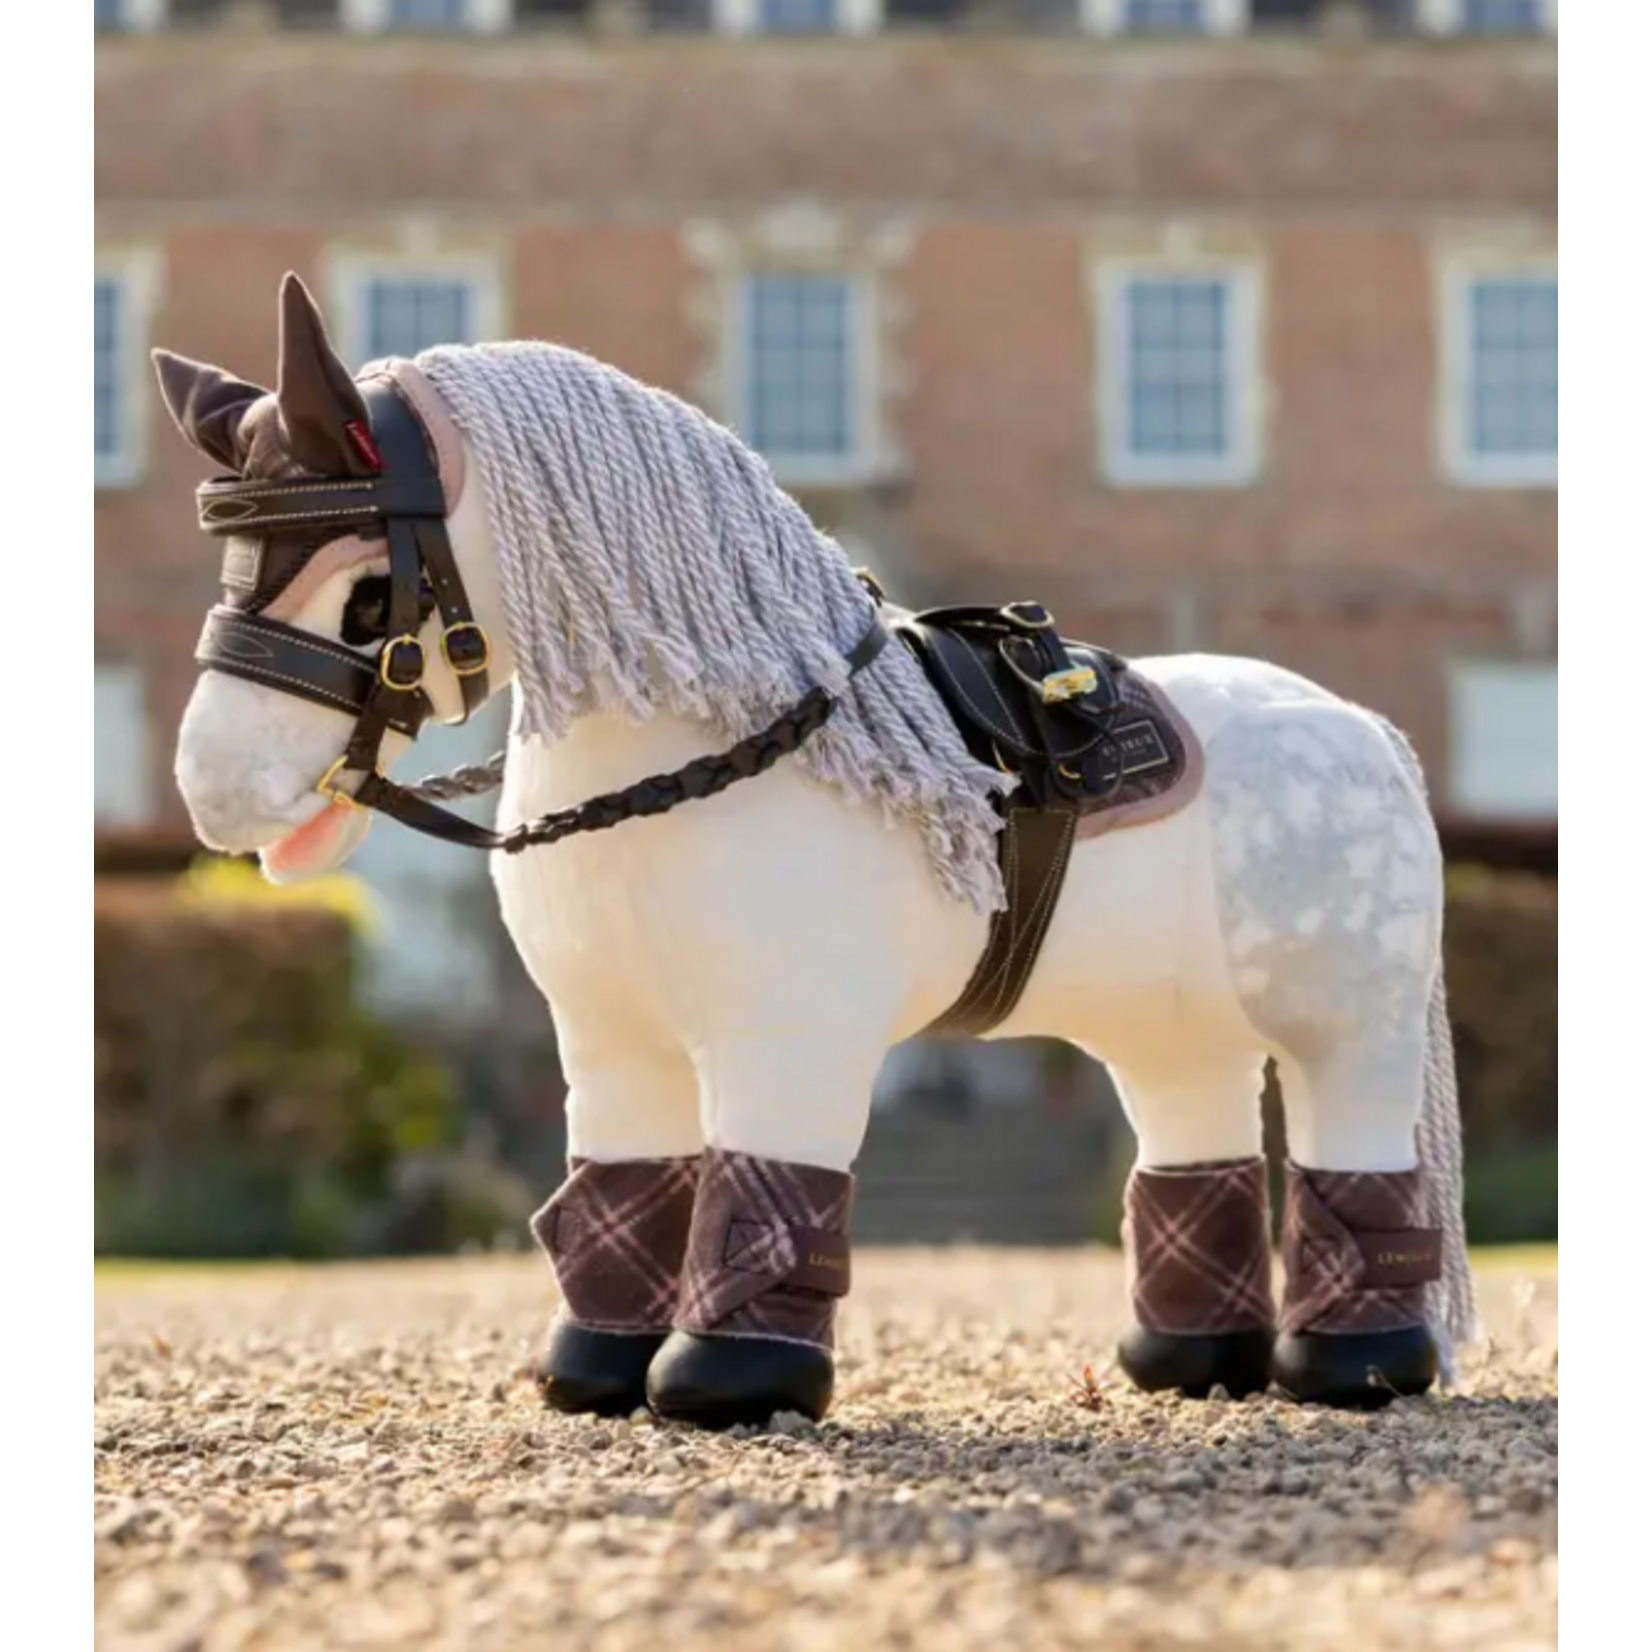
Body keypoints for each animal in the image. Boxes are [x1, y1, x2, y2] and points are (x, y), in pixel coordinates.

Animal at [148, 272, 1479, 1430]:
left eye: (367, 595)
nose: (215, 789)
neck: (717, 741)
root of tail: (1365, 730)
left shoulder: (789, 1030)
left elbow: (769, 1186)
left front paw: (724, 1387)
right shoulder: (609, 1035)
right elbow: (622, 1189)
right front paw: (594, 1376)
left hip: (1346, 1022)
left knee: (1353, 1147)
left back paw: (1352, 1367)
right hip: (1169, 1023)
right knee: (1189, 1135)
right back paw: (1188, 1362)